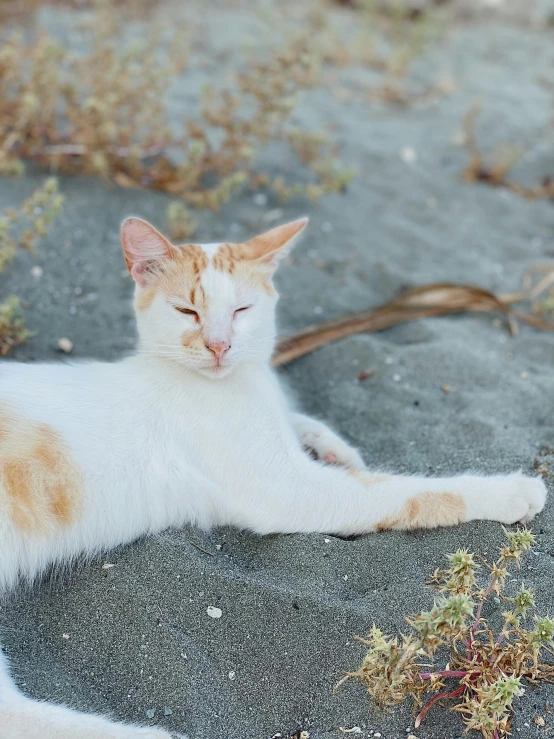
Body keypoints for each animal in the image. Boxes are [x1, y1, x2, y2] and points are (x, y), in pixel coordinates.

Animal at [0, 217, 544, 736]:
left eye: (242, 310)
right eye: (186, 312)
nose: (219, 346)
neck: (240, 380)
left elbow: (303, 420)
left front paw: (338, 449)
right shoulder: (286, 490)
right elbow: (415, 492)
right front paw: (511, 490)